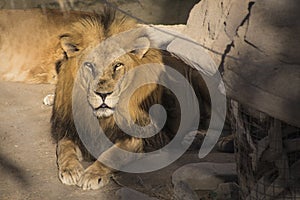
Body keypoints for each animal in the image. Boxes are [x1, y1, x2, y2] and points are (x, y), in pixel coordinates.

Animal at [51, 9, 211, 191]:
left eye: (117, 65)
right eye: (89, 65)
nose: (103, 94)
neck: (103, 118)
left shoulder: (137, 136)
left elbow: (111, 155)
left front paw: (92, 175)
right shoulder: (72, 129)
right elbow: (64, 147)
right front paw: (69, 170)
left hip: (200, 80)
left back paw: (196, 138)